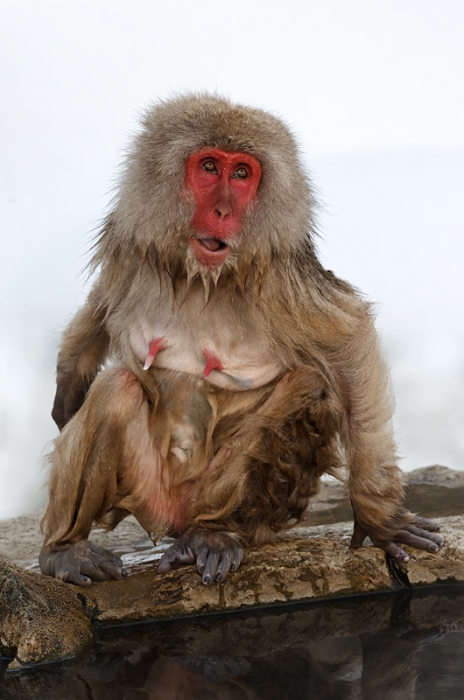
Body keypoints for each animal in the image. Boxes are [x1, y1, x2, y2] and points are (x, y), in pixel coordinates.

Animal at [40, 93, 442, 584]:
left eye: (242, 174)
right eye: (210, 166)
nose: (223, 212)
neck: (201, 280)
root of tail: (173, 517)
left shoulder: (283, 281)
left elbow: (349, 343)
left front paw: (378, 517)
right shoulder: (134, 250)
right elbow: (100, 308)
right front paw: (68, 381)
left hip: (211, 497)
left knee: (310, 387)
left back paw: (211, 535)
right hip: (147, 490)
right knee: (117, 389)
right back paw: (65, 549)